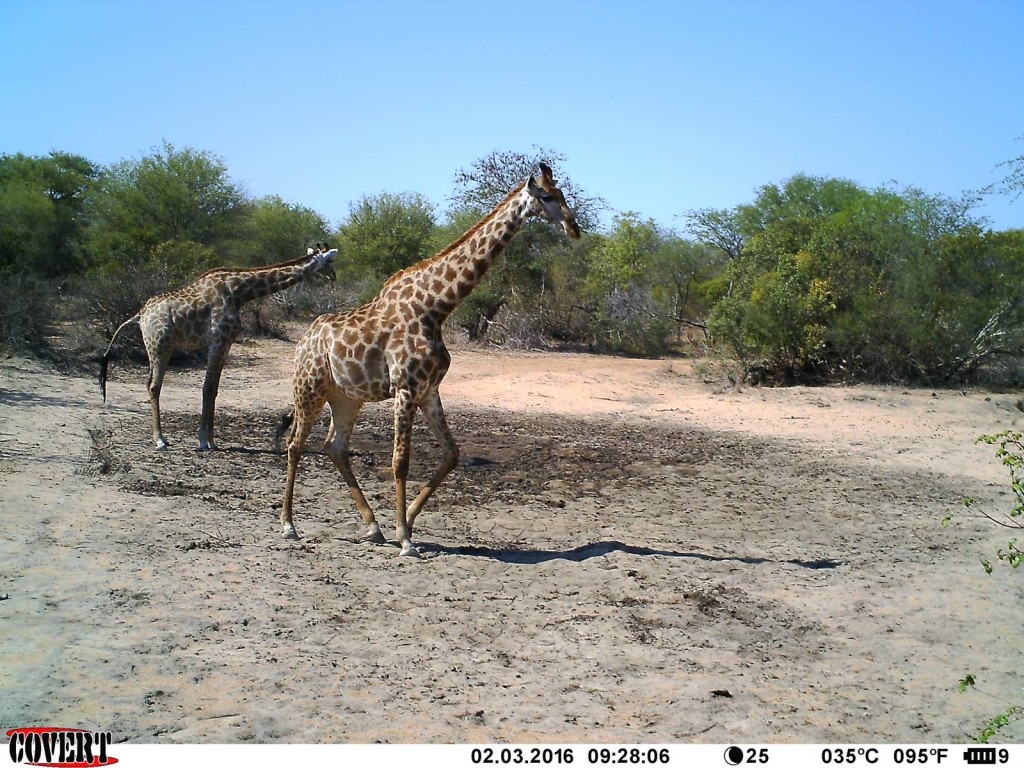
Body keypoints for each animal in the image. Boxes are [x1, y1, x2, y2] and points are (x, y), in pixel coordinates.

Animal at [97, 246, 335, 450]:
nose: (333, 276)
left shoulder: (226, 343)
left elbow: (214, 390)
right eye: (330, 261)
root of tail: (140, 315)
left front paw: (212, 440)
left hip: (156, 347)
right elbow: (207, 388)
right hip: (160, 344)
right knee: (155, 386)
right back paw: (160, 439)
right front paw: (203, 440)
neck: (238, 292)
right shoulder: (217, 340)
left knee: (149, 383)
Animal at [284, 165, 581, 557]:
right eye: (546, 196)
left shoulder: (429, 390)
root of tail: (304, 339)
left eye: (562, 193)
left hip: (346, 398)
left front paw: (406, 522)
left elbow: (452, 453)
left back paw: (372, 528)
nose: (574, 227)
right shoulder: (406, 388)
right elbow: (400, 462)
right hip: (309, 389)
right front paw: (405, 538)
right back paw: (289, 525)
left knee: (334, 447)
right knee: (295, 445)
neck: (436, 307)